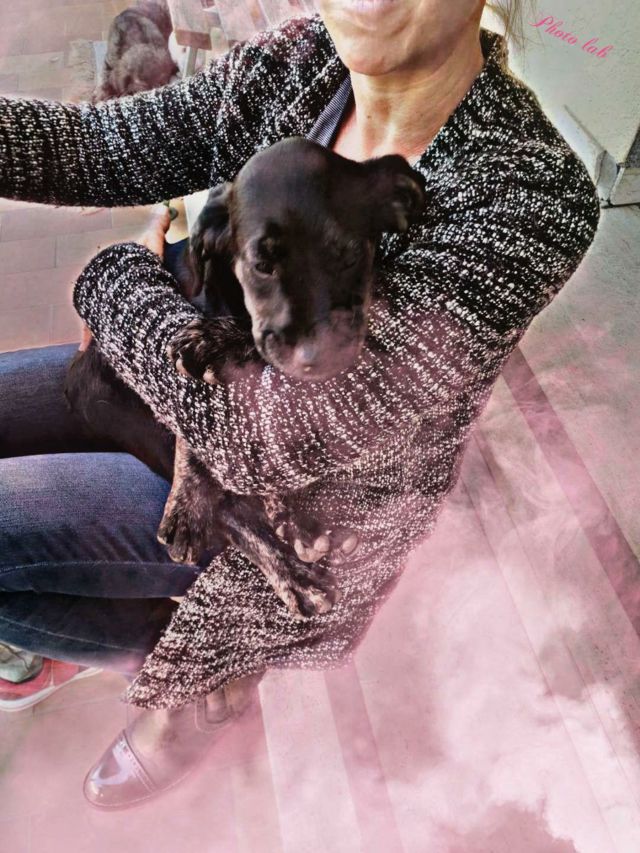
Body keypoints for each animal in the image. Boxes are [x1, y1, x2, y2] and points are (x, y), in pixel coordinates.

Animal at [65, 137, 426, 618]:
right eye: (261, 265)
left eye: (349, 254)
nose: (319, 359)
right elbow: (197, 423)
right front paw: (187, 503)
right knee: (231, 505)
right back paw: (294, 570)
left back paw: (299, 529)